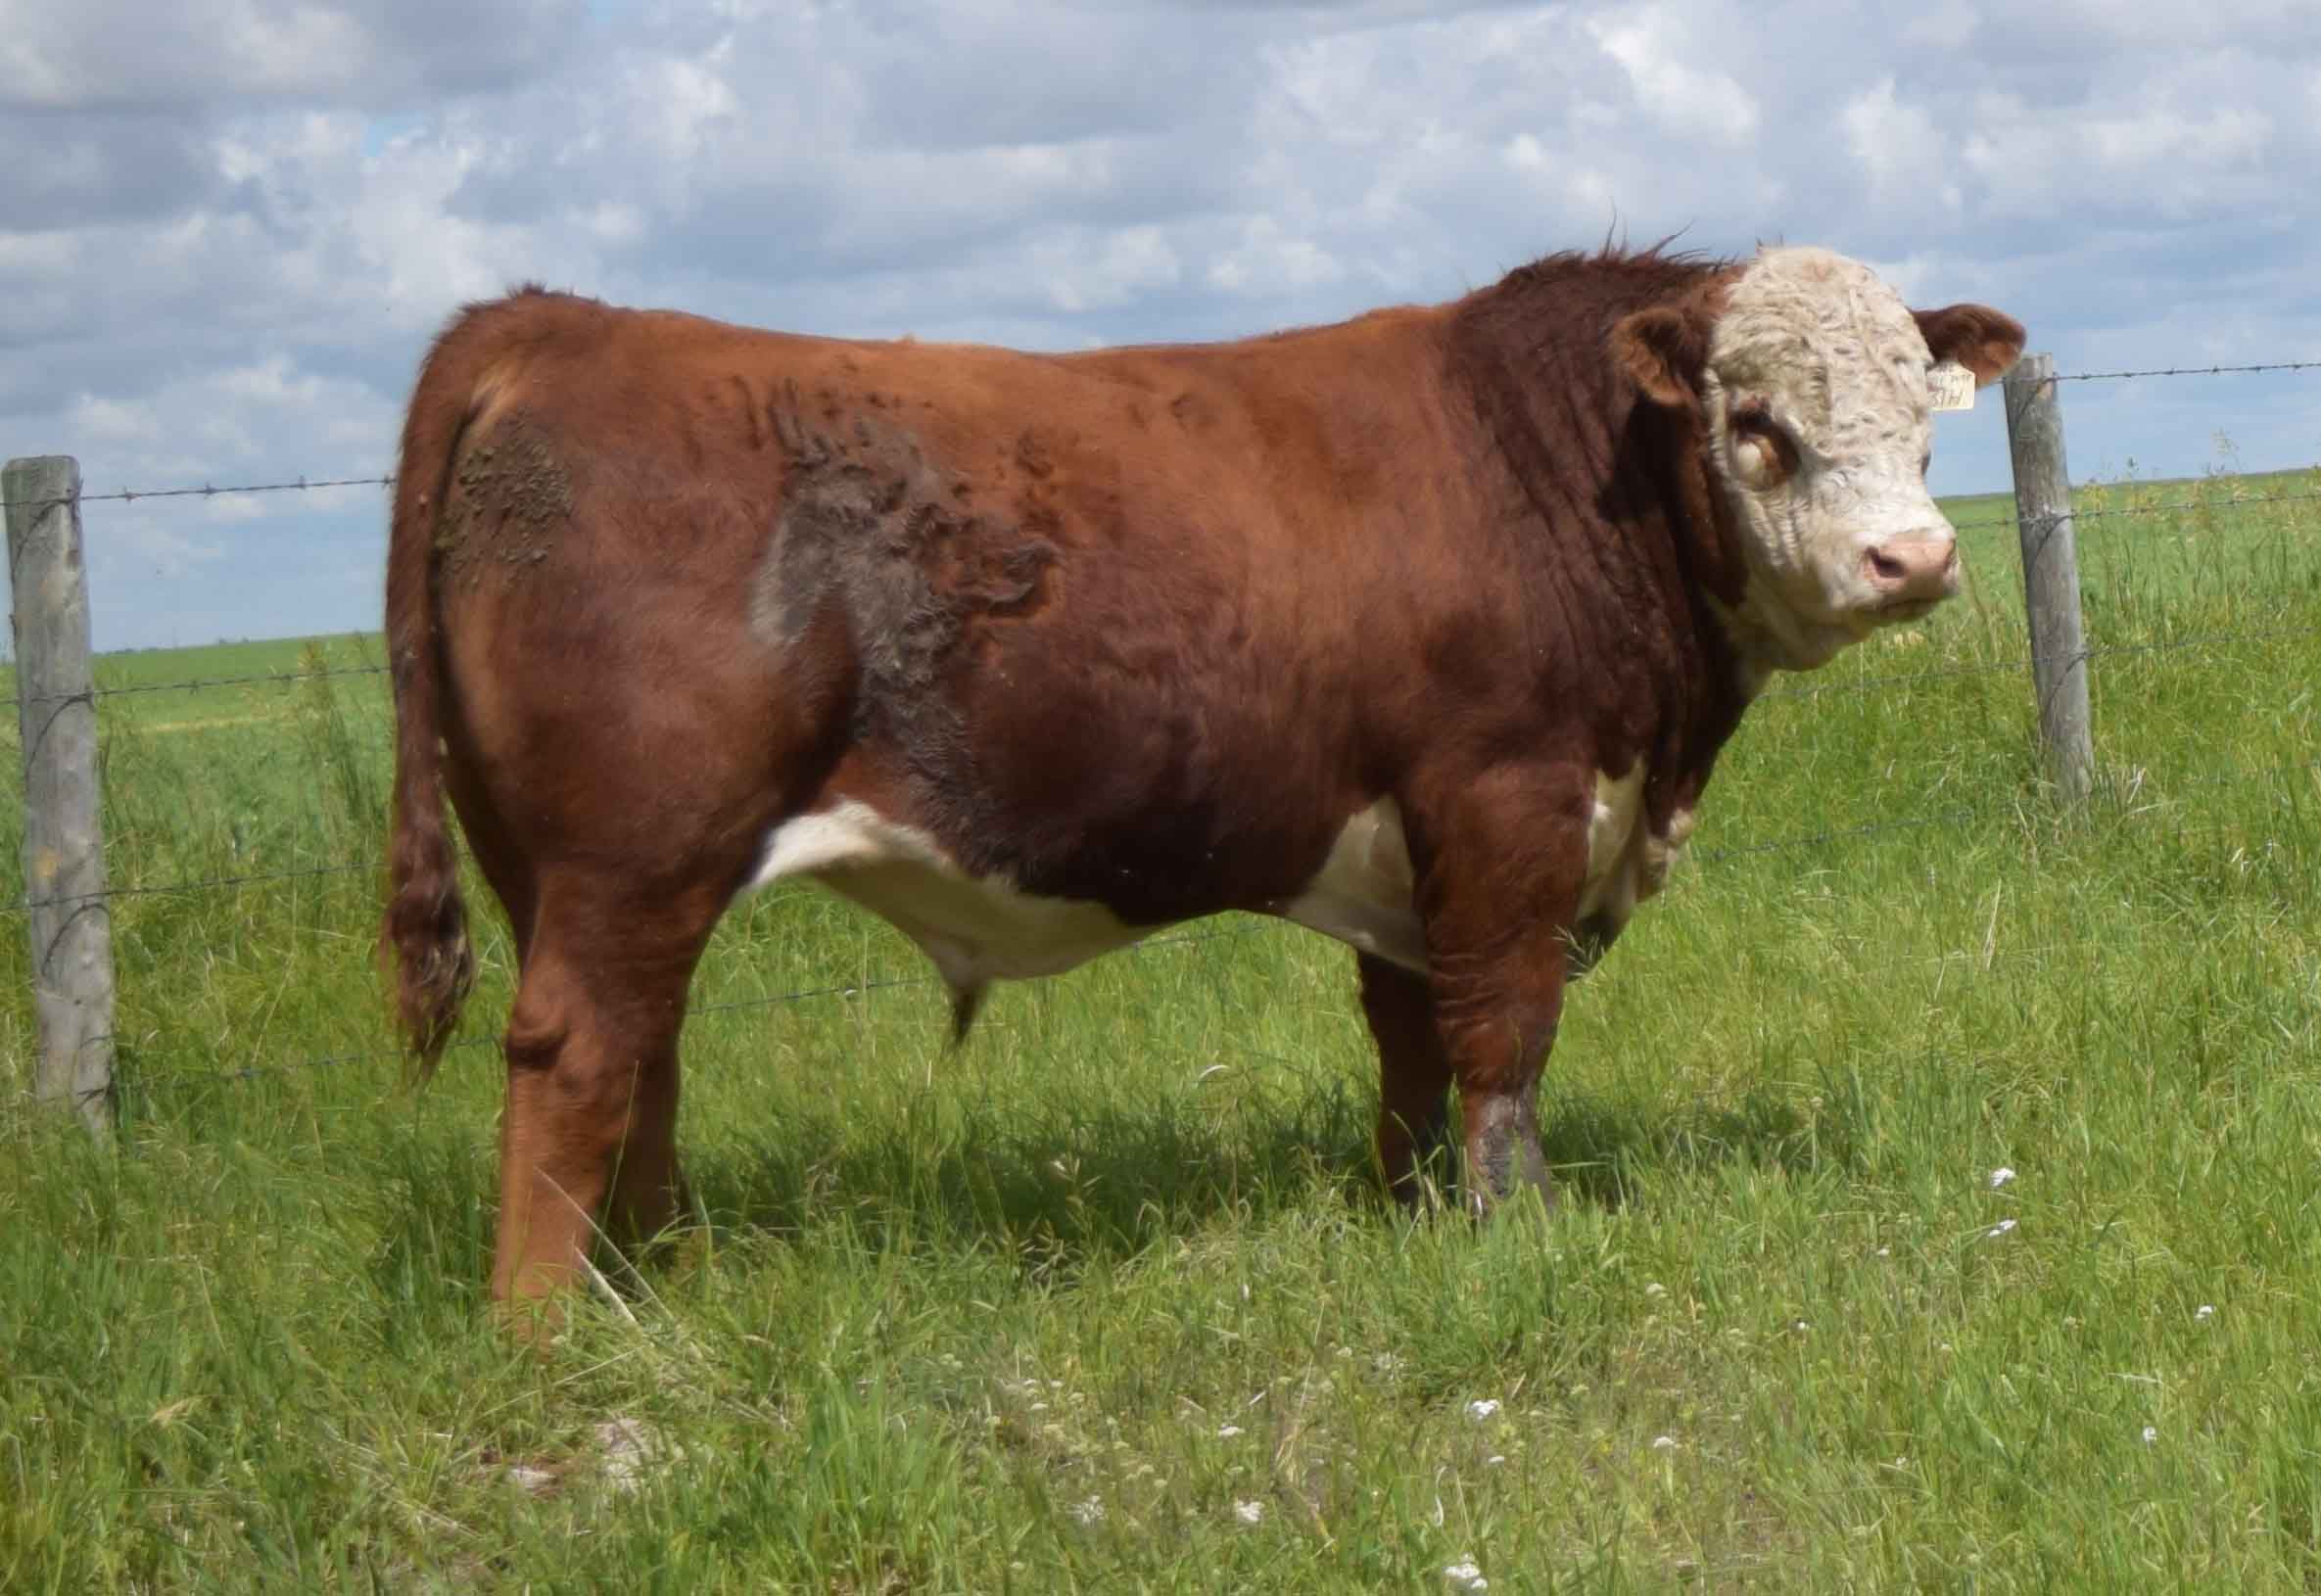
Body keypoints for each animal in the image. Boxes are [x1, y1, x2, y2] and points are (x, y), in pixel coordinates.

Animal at [380, 243, 2024, 1311]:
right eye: (1757, 424)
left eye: (1920, 414)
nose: (1913, 559)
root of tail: (553, 325)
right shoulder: (1506, 797)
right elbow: (1501, 1034)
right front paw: (1521, 1229)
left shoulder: (1404, 843)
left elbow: (1409, 1044)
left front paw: (1411, 1210)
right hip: (635, 850)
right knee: (578, 1055)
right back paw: (549, 1338)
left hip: (565, 867)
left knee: (644, 1055)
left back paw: (668, 1287)